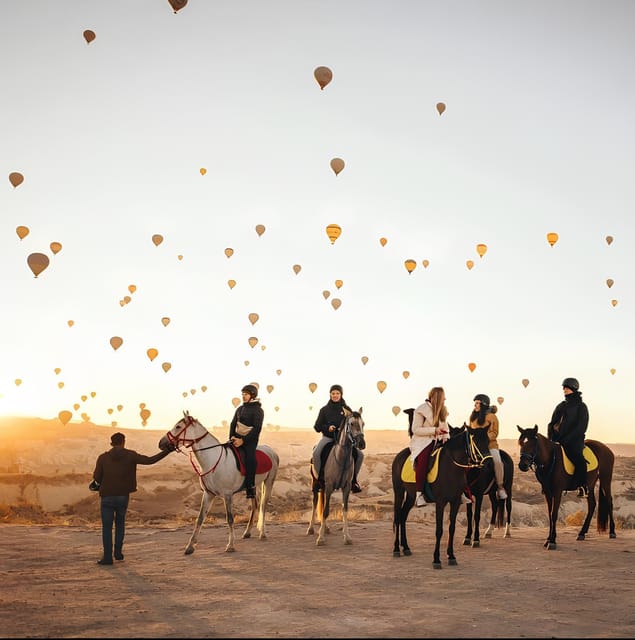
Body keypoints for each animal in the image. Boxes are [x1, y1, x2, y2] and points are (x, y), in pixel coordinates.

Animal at [158, 412, 278, 552]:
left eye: (178, 426)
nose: (161, 443)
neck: (213, 460)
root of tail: (271, 451)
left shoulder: (227, 495)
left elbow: (230, 519)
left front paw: (230, 545)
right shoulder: (208, 494)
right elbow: (200, 518)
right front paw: (190, 546)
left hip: (269, 482)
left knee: (263, 506)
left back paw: (262, 533)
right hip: (253, 487)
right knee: (255, 506)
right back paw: (247, 533)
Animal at [392, 416, 492, 568]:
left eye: (488, 441)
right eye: (475, 441)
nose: (488, 462)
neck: (452, 467)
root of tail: (398, 456)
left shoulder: (455, 502)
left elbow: (452, 528)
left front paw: (451, 556)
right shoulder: (440, 502)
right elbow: (439, 530)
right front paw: (436, 559)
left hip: (411, 495)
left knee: (403, 516)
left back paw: (406, 547)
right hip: (398, 491)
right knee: (398, 517)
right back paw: (397, 549)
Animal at [516, 424, 616, 552]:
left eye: (532, 444)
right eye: (520, 443)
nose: (522, 465)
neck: (550, 460)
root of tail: (607, 449)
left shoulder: (557, 491)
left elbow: (554, 514)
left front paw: (552, 541)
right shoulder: (548, 492)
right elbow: (549, 515)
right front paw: (548, 539)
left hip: (605, 480)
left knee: (609, 502)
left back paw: (612, 532)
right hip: (590, 485)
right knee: (592, 504)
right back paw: (582, 533)